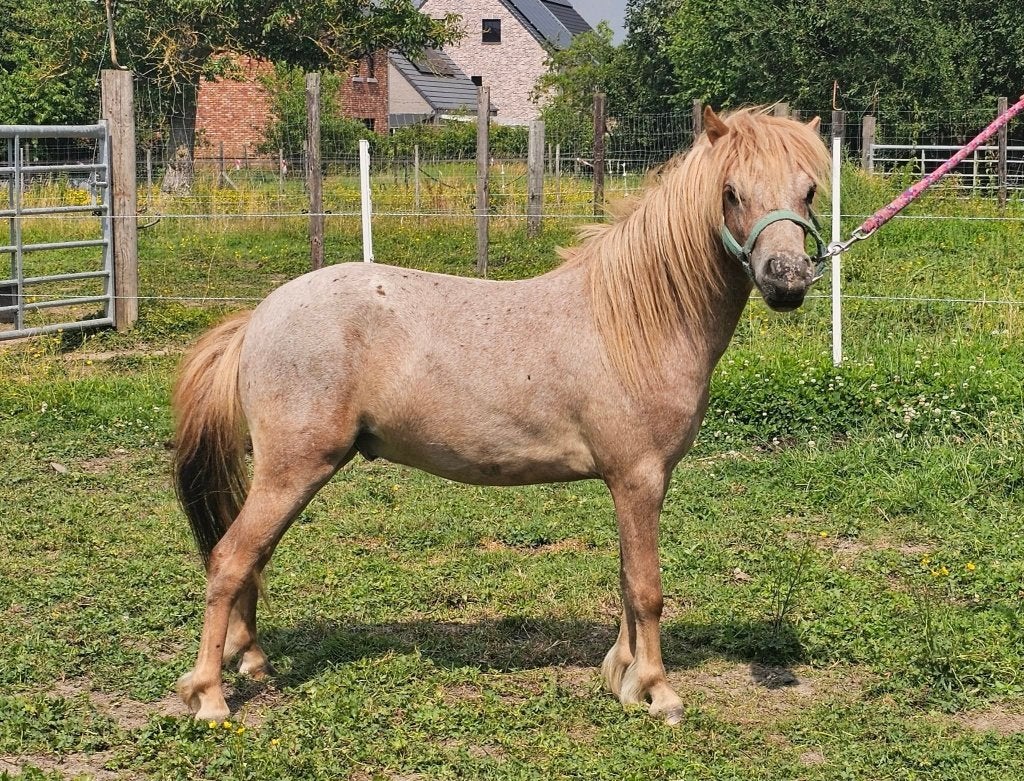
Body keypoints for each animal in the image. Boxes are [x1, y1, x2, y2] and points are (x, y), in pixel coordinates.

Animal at [172, 107, 831, 725]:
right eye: (732, 192)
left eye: (808, 191)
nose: (787, 281)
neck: (634, 321)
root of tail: (259, 316)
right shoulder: (639, 477)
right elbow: (647, 589)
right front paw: (657, 691)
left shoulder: (632, 483)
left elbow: (626, 579)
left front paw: (622, 679)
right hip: (294, 469)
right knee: (230, 560)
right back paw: (208, 695)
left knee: (252, 557)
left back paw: (251, 661)